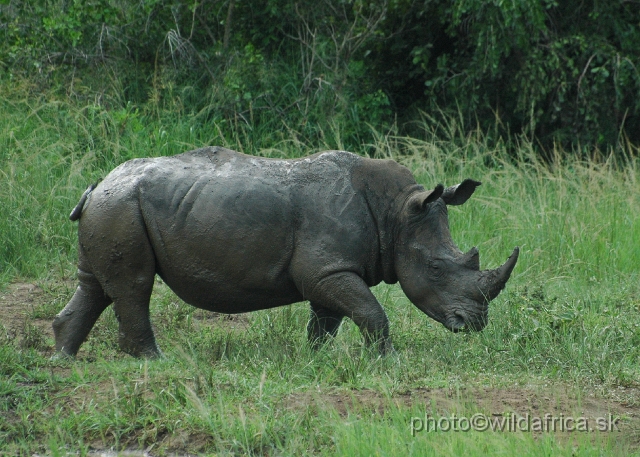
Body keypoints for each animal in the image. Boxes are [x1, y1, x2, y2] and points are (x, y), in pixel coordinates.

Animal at [52, 146, 516, 356]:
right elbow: (371, 312)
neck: (397, 212)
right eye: (436, 268)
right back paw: (153, 361)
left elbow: (327, 320)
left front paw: (316, 360)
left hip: (114, 206)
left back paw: (64, 358)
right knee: (134, 287)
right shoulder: (327, 268)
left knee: (95, 285)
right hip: (121, 206)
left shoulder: (330, 269)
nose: (475, 323)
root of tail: (96, 186)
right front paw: (386, 360)